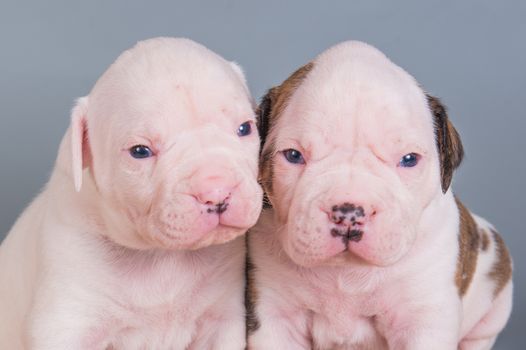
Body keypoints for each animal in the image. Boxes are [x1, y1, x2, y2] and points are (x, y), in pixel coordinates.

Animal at [0, 37, 264, 348]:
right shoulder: (65, 323)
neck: (160, 256)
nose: (217, 191)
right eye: (140, 151)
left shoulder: (221, 321)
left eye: (245, 128)